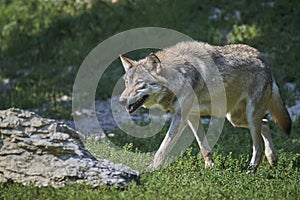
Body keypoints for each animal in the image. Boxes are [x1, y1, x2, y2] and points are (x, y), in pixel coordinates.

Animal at [118, 40, 292, 172]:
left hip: (249, 117)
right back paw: (273, 159)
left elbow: (162, 149)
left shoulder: (180, 118)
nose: (121, 100)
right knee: (266, 123)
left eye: (140, 84)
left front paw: (152, 169)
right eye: (126, 83)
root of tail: (261, 57)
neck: (178, 76)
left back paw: (252, 170)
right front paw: (210, 168)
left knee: (258, 147)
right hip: (236, 119)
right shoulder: (192, 117)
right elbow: (204, 148)